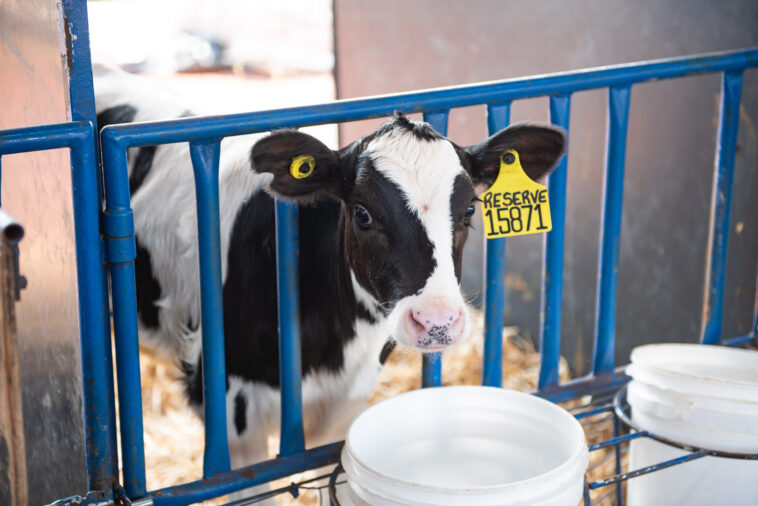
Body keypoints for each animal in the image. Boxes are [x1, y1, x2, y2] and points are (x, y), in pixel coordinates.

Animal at [95, 66, 568, 482]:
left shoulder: (348, 401)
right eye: (362, 213)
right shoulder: (232, 413)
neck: (329, 347)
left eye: (470, 208)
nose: (437, 321)